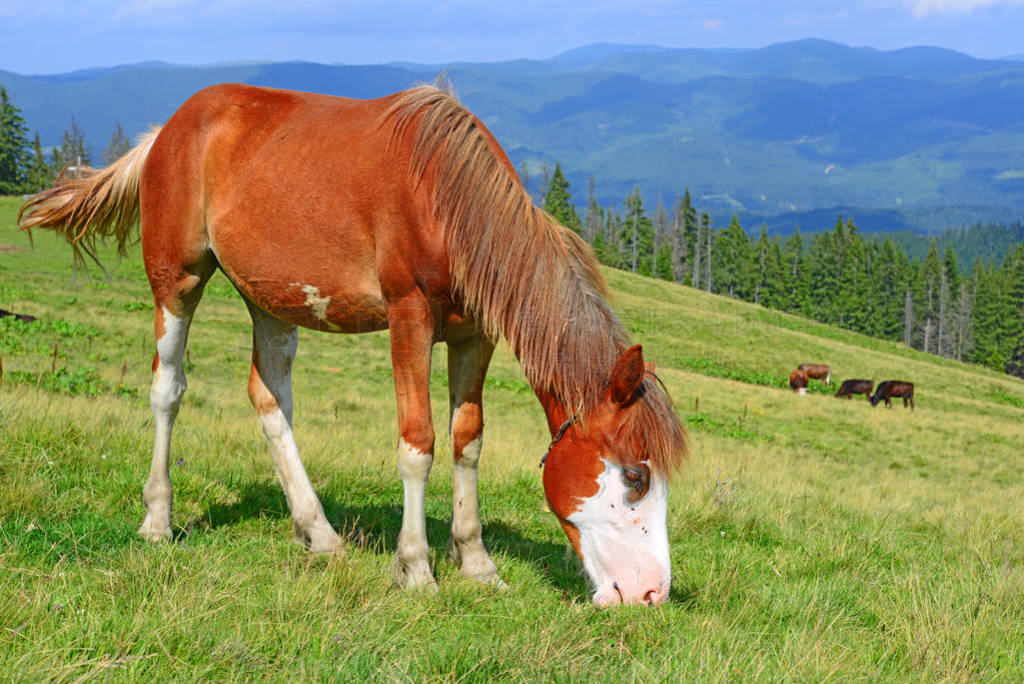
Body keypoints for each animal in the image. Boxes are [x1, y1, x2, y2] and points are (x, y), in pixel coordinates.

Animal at [16, 81, 684, 610]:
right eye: (634, 476)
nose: (650, 594)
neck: (450, 198)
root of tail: (168, 130)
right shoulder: (411, 317)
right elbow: (418, 443)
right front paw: (415, 568)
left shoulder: (474, 335)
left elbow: (467, 442)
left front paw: (476, 563)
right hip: (175, 280)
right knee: (167, 389)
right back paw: (158, 519)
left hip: (271, 301)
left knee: (270, 399)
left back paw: (318, 532)